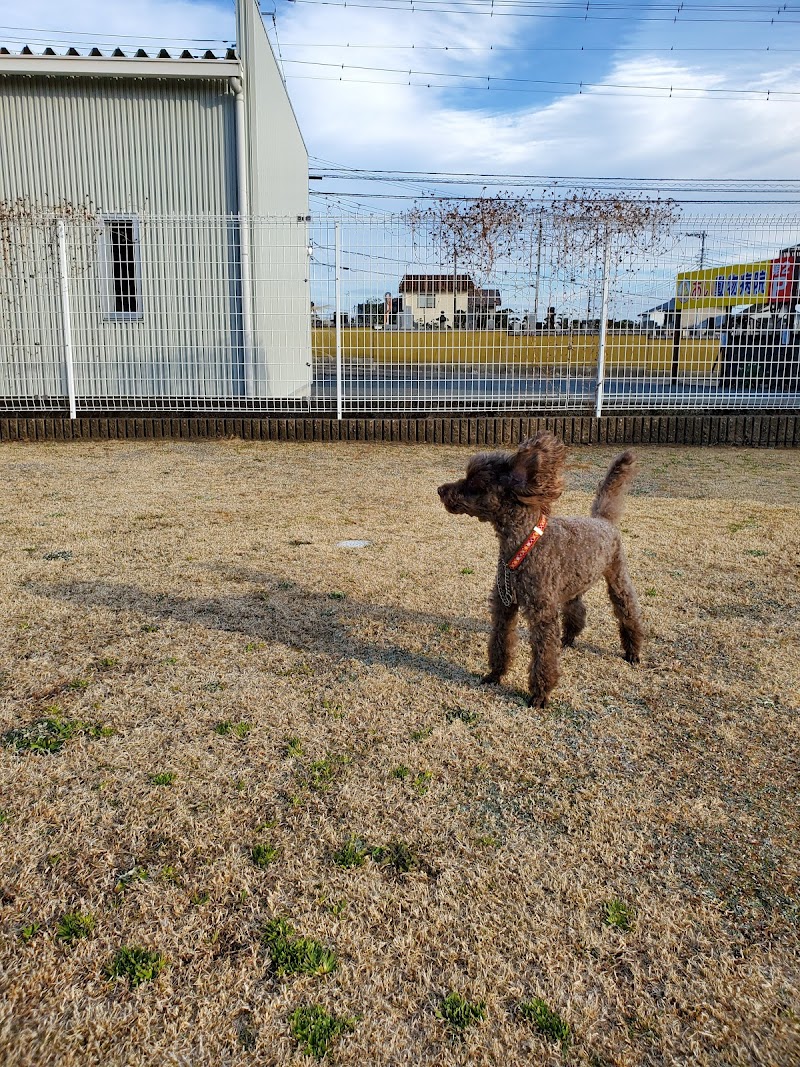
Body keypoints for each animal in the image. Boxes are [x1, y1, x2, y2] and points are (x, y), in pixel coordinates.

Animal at [439, 428, 644, 704]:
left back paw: (632, 651)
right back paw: (568, 638)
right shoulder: (504, 605)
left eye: (475, 483)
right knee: (576, 609)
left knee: (628, 611)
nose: (440, 490)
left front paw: (539, 695)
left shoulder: (541, 612)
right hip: (572, 583)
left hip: (617, 575)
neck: (523, 543)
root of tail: (602, 520)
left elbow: (543, 655)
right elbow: (500, 642)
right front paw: (495, 674)